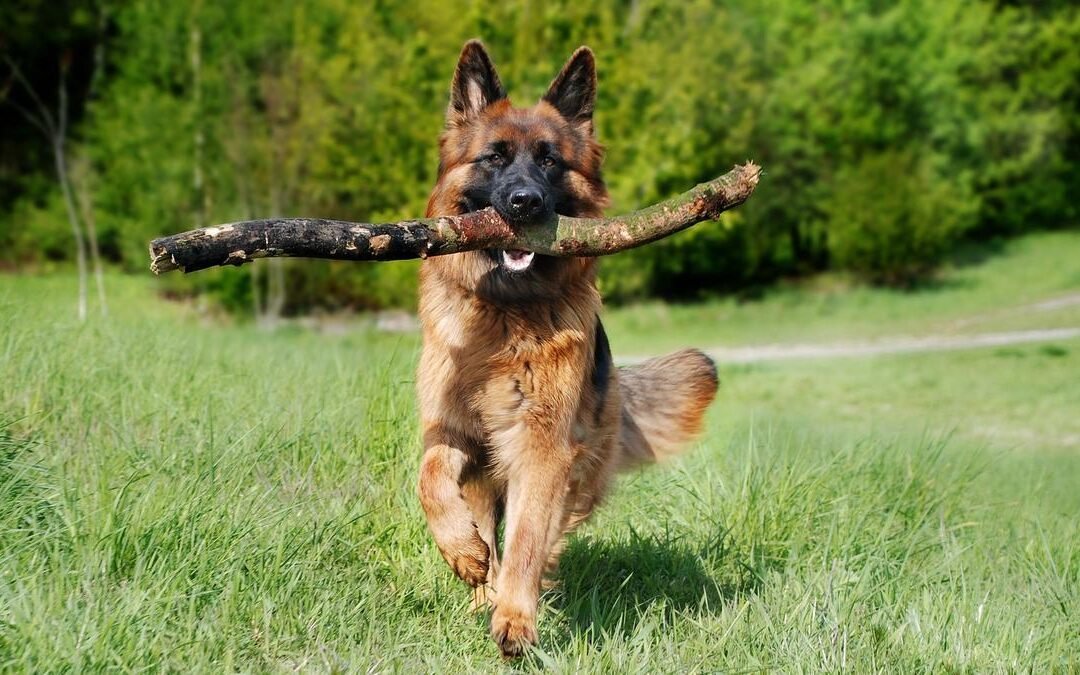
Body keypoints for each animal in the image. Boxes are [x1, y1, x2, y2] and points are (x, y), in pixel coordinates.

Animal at [414, 39, 717, 656]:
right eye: (495, 158)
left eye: (550, 162)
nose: (524, 203)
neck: (505, 314)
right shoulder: (451, 430)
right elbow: (430, 480)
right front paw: (463, 553)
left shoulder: (542, 446)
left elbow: (528, 537)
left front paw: (515, 618)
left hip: (577, 466)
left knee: (544, 532)